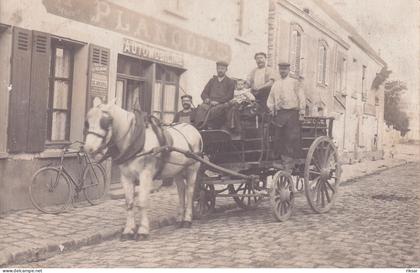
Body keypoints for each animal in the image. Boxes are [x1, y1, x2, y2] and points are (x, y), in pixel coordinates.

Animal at [83, 99, 202, 239]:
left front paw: (143, 230)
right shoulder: (126, 177)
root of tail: (192, 128)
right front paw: (128, 231)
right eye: (87, 121)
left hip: (192, 168)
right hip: (177, 170)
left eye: (106, 121)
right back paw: (179, 219)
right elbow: (129, 203)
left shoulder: (145, 175)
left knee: (190, 191)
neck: (136, 142)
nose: (88, 148)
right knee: (181, 190)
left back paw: (187, 220)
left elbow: (142, 201)